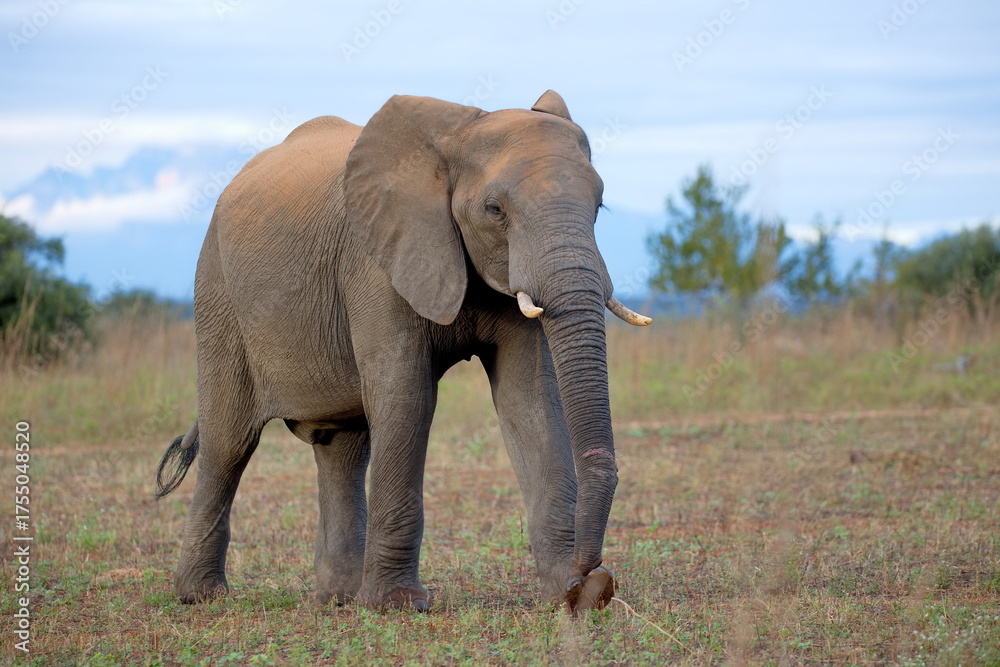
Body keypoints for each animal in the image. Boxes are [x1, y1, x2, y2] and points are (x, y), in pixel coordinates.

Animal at [154, 90, 651, 614]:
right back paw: (201, 596)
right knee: (229, 441)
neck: (458, 134)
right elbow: (407, 396)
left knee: (343, 447)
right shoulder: (376, 261)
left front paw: (571, 596)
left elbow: (530, 402)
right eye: (495, 209)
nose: (591, 573)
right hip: (216, 292)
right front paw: (396, 605)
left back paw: (339, 599)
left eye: (599, 205)